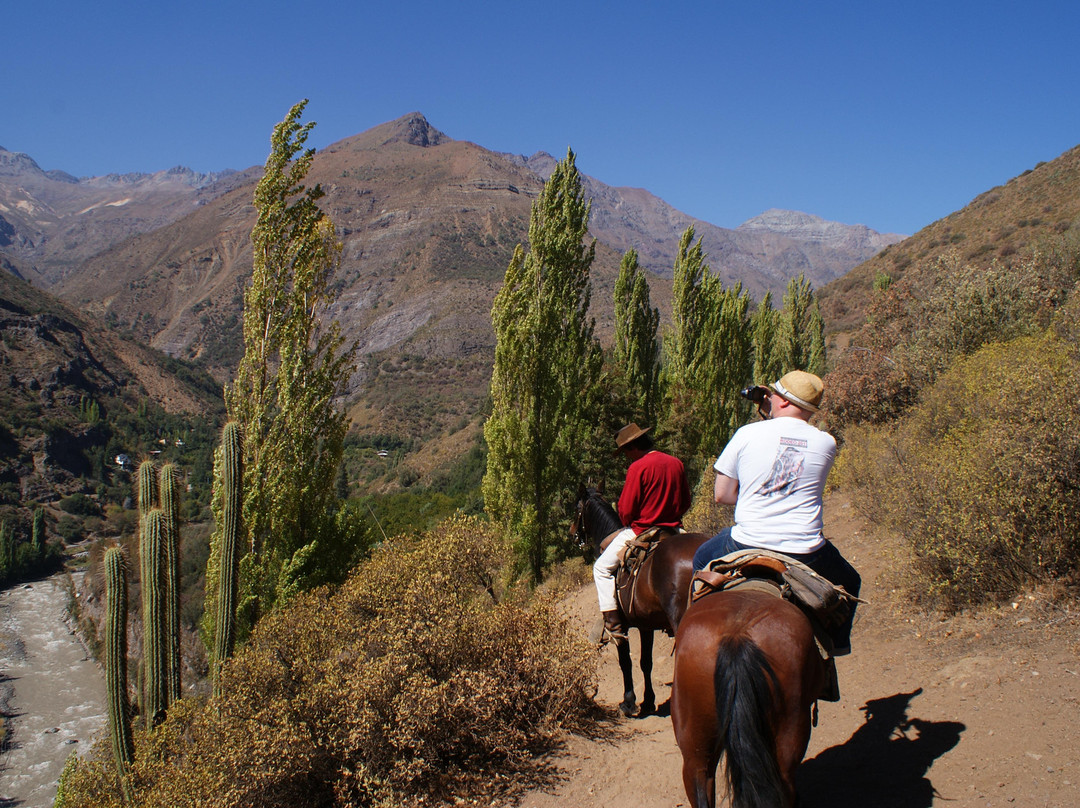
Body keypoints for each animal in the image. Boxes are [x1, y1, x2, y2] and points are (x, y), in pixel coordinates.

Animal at [570, 483, 712, 717]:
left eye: (578, 507)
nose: (572, 533)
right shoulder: (646, 625)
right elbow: (646, 662)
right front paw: (648, 701)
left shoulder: (621, 626)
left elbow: (625, 661)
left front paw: (629, 702)